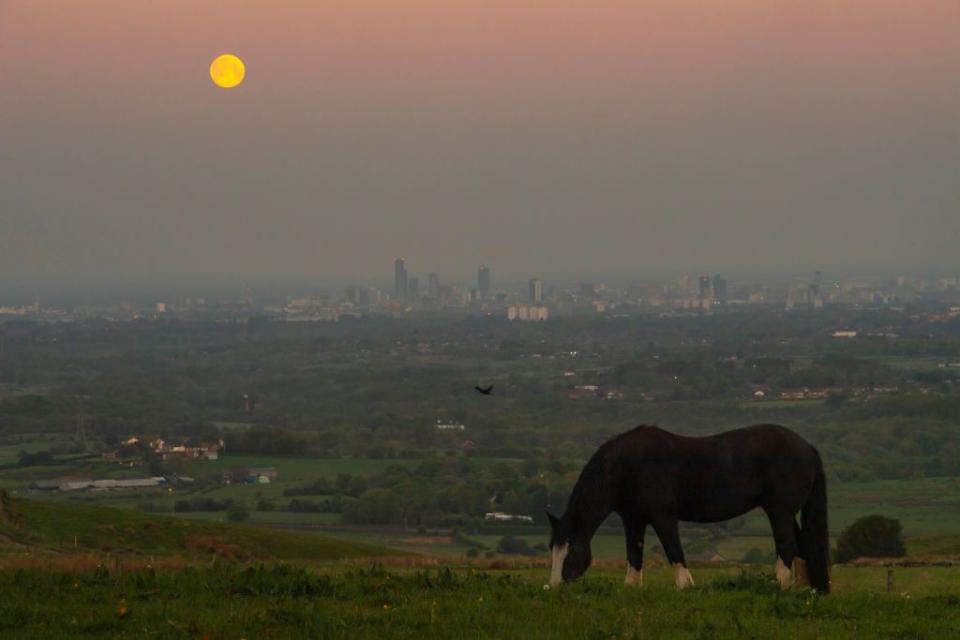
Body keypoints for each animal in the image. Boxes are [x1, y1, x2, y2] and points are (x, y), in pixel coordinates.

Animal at [552, 424, 828, 596]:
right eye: (553, 549)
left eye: (571, 550)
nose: (553, 587)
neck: (628, 466)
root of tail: (807, 447)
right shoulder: (633, 520)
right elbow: (634, 553)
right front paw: (631, 587)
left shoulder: (663, 516)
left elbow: (673, 549)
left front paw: (685, 585)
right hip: (785, 513)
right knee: (803, 545)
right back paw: (810, 589)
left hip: (779, 512)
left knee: (786, 545)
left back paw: (779, 586)